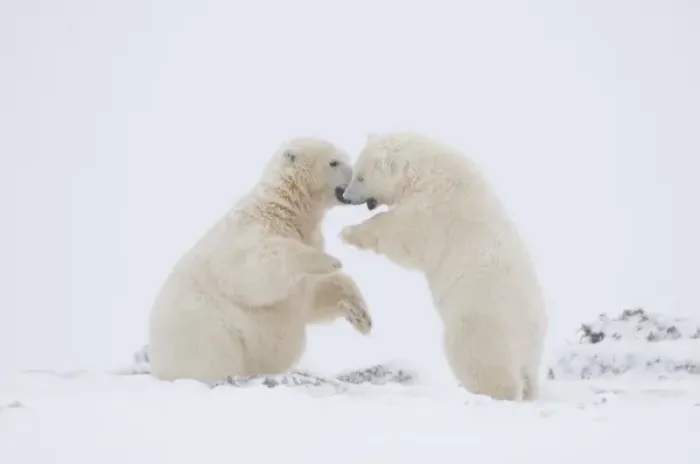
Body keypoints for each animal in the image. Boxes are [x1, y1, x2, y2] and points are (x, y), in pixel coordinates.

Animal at [148, 137, 373, 383]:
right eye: (334, 162)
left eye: (345, 159)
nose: (358, 175)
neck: (283, 210)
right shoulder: (246, 240)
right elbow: (259, 273)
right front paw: (329, 260)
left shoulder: (302, 277)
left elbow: (314, 296)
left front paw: (361, 318)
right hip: (203, 332)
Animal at [338, 131, 547, 401]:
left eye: (360, 176)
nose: (345, 195)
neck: (429, 170)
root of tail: (532, 335)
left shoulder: (436, 208)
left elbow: (404, 235)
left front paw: (348, 233)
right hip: (528, 348)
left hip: (481, 321)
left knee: (479, 360)